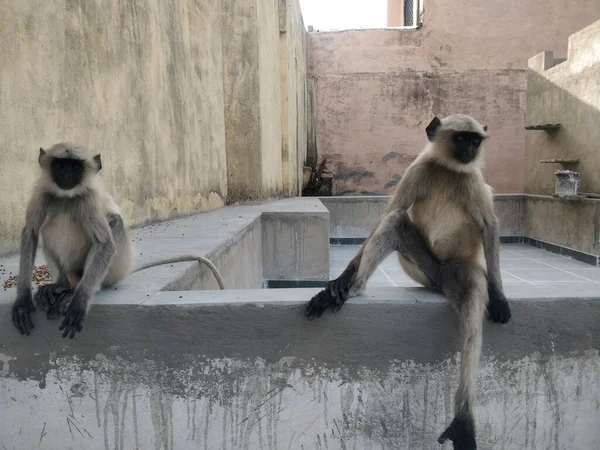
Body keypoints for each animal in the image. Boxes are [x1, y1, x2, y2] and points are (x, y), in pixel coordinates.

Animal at [11, 143, 134, 338]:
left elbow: (105, 244)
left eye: (75, 167)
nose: (67, 175)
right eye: (60, 166)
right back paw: (60, 286)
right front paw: (23, 300)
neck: (65, 197)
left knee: (115, 221)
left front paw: (78, 303)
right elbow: (30, 233)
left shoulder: (88, 198)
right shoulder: (42, 194)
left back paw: (72, 292)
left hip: (112, 271)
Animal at [310, 115, 510, 450]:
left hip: (458, 268)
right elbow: (389, 215)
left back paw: (463, 419)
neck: (448, 169)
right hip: (424, 271)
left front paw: (499, 297)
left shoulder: (472, 179)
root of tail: (440, 279)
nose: (470, 150)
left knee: (472, 298)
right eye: (461, 138)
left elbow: (490, 226)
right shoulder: (418, 170)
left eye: (475, 140)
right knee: (394, 221)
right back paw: (352, 288)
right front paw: (341, 279)